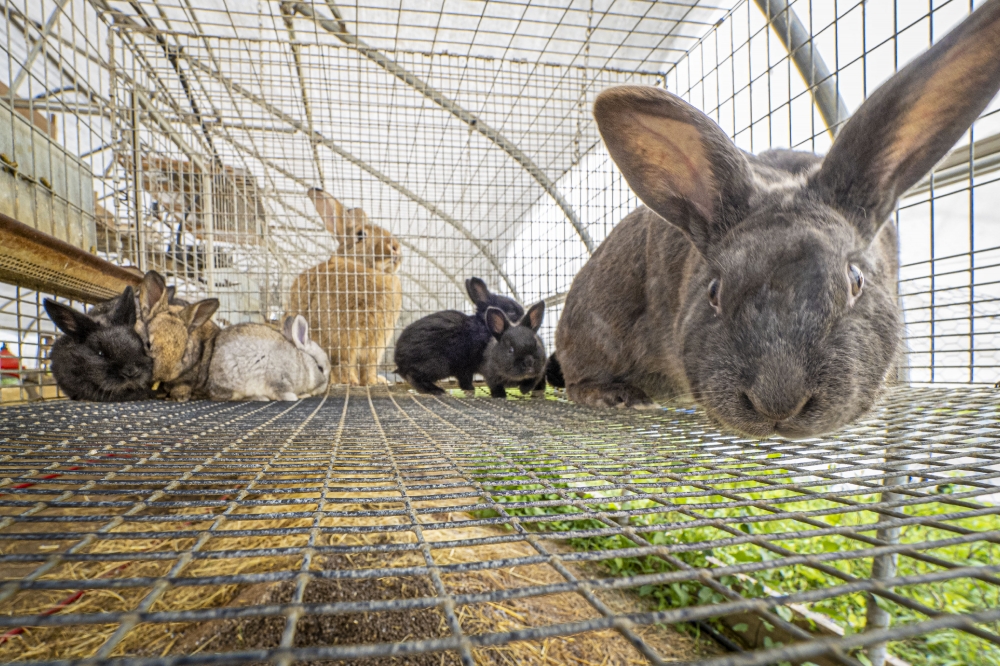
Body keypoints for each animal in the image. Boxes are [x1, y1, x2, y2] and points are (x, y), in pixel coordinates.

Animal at [286, 187, 402, 384]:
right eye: (361, 235)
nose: (395, 247)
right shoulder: (343, 335)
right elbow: (344, 361)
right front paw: (350, 383)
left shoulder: (376, 341)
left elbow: (368, 365)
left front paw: (373, 382)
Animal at [394, 276, 528, 394]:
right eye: (511, 311)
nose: (523, 313)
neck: (483, 325)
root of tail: (399, 361)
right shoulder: (468, 365)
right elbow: (466, 379)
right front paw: (470, 389)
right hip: (439, 365)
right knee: (413, 376)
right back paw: (435, 390)